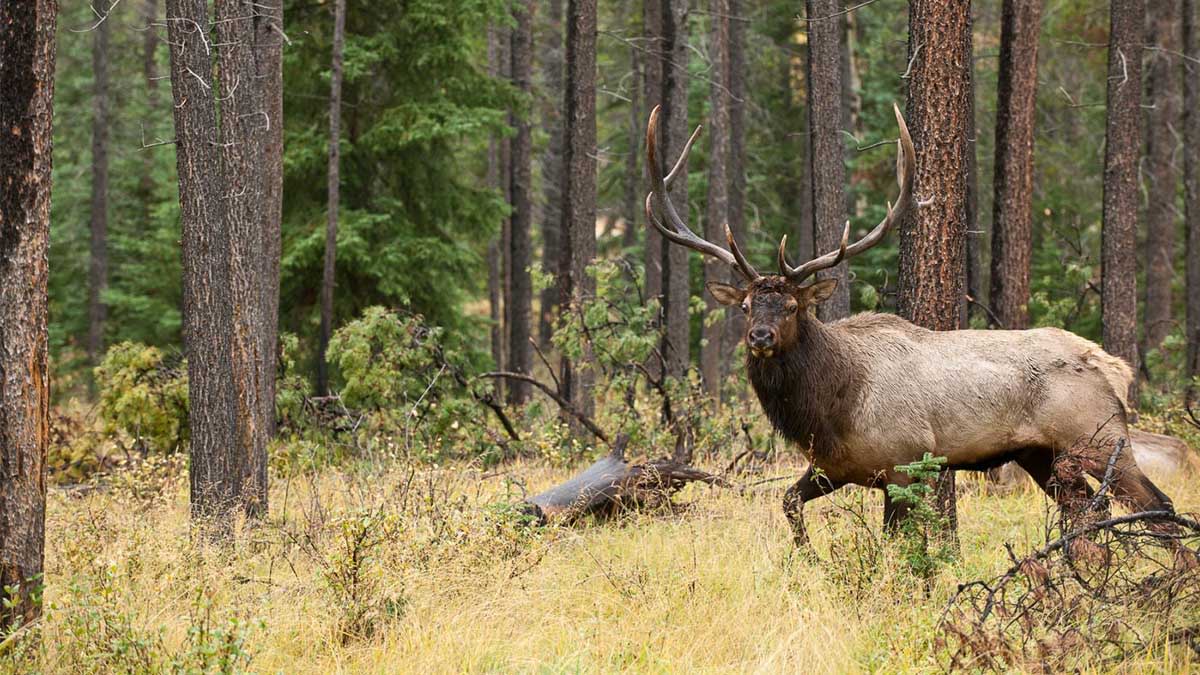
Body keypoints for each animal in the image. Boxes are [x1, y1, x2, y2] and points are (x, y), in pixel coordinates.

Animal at [644, 103, 1180, 546]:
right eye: (746, 307)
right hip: (1041, 454)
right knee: (1087, 511)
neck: (832, 406)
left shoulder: (905, 463)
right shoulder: (836, 466)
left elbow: (897, 547)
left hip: (1101, 437)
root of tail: (1115, 367)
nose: (760, 337)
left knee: (1158, 505)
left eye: (794, 306)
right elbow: (788, 501)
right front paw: (808, 558)